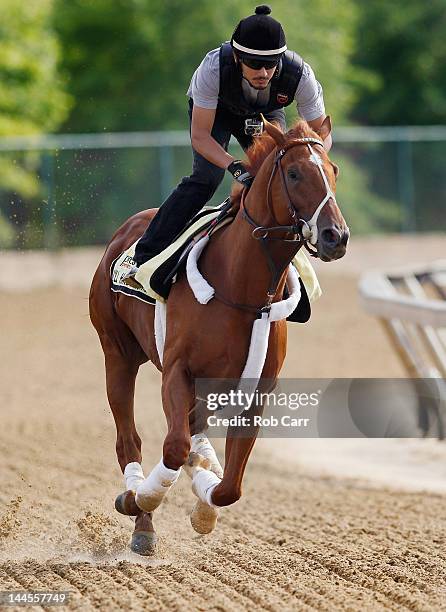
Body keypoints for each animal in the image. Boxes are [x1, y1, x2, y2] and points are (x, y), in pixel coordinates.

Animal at [89, 115, 348, 556]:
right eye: (294, 173)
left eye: (332, 171)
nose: (336, 236)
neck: (242, 288)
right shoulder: (177, 370)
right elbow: (173, 446)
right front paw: (142, 498)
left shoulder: (255, 390)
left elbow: (230, 487)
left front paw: (204, 506)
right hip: (117, 353)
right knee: (130, 440)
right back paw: (141, 519)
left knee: (192, 431)